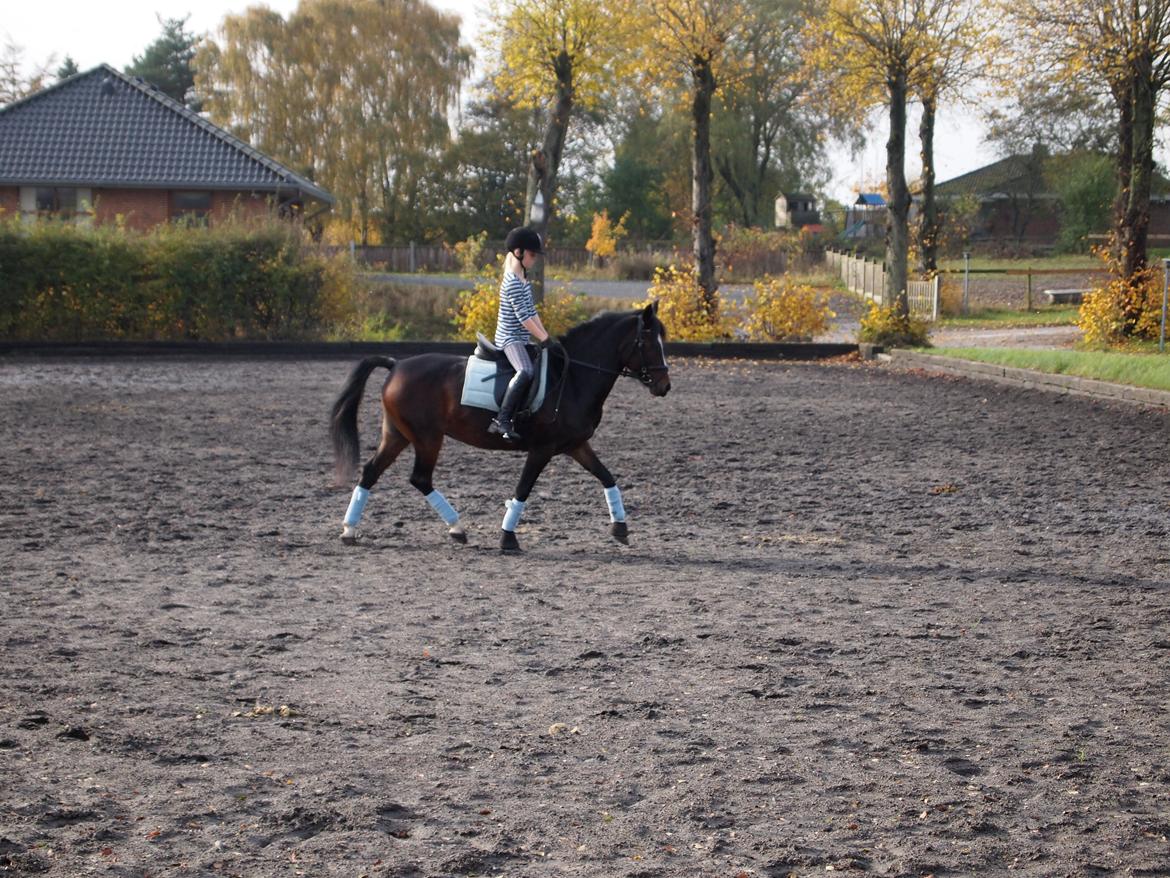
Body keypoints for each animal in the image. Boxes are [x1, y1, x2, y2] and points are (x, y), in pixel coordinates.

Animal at [329, 302, 671, 552]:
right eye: (647, 342)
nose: (664, 386)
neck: (573, 377)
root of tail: (396, 364)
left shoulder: (575, 445)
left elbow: (607, 477)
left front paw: (620, 528)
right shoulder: (542, 449)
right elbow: (523, 488)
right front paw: (508, 538)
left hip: (398, 435)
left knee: (372, 472)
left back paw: (350, 530)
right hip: (427, 438)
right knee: (419, 478)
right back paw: (457, 527)